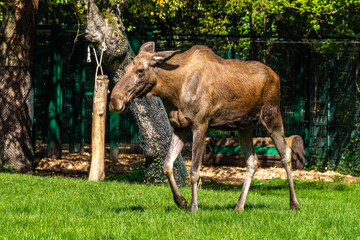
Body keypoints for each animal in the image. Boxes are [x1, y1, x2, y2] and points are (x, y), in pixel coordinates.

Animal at [109, 41, 300, 212]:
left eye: (140, 70)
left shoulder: (200, 124)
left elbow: (194, 170)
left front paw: (194, 206)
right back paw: (239, 206)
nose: (115, 100)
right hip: (243, 126)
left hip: (271, 115)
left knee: (285, 152)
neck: (173, 92)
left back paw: (294, 204)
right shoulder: (180, 127)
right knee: (252, 161)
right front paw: (182, 202)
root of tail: (277, 76)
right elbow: (167, 165)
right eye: (125, 69)